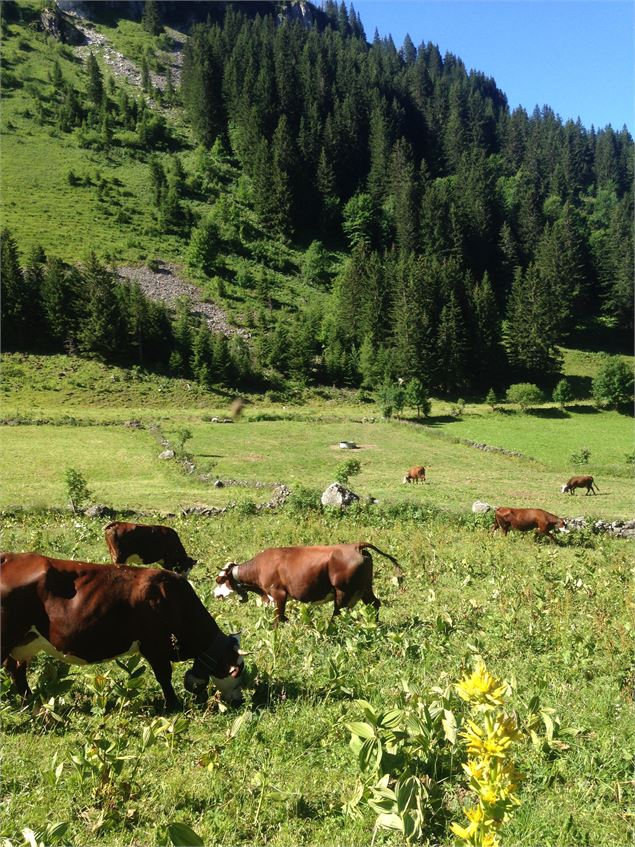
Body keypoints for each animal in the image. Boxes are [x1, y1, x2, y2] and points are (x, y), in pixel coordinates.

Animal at [0, 548, 246, 708]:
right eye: (238, 671)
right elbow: (164, 676)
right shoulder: (154, 646)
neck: (171, 599)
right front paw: (173, 704)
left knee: (16, 670)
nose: (239, 700)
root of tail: (9, 557)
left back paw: (29, 701)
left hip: (25, 641)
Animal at [214, 540, 402, 628]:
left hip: (342, 590)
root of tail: (355, 546)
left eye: (219, 580)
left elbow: (278, 617)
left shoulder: (278, 593)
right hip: (364, 588)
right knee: (375, 603)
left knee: (338, 612)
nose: (214, 594)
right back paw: (374, 624)